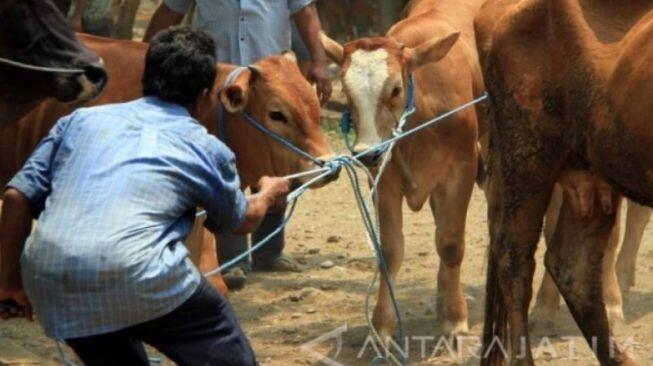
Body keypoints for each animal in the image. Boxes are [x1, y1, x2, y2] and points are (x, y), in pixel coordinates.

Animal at [320, 0, 488, 340]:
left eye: (396, 89)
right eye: (347, 92)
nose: (366, 152)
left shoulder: (461, 171)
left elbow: (451, 243)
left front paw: (455, 318)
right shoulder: (384, 179)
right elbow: (390, 251)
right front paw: (382, 324)